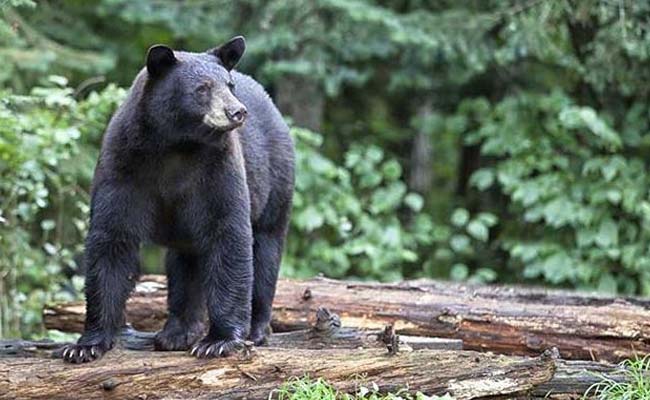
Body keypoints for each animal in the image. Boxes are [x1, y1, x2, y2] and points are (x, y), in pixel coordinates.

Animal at [60, 36, 294, 362]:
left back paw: (256, 330)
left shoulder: (218, 169)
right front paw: (86, 345)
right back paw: (177, 332)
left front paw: (219, 341)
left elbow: (228, 234)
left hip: (275, 181)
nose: (237, 112)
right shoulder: (123, 165)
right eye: (203, 88)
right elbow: (111, 239)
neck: (177, 145)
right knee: (185, 265)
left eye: (229, 85)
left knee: (266, 249)